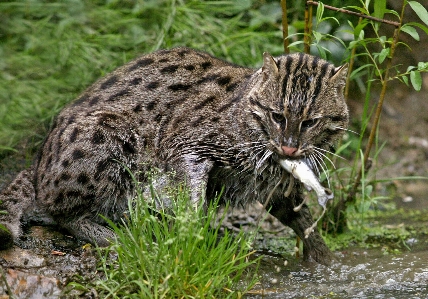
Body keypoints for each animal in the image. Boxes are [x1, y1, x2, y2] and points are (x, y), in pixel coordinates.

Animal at [0, 47, 348, 264]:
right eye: (277, 116)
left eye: (311, 122)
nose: (289, 148)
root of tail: (36, 165)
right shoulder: (186, 143)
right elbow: (193, 191)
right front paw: (191, 229)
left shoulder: (273, 185)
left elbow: (302, 220)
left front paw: (325, 260)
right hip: (109, 136)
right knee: (62, 211)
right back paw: (113, 235)